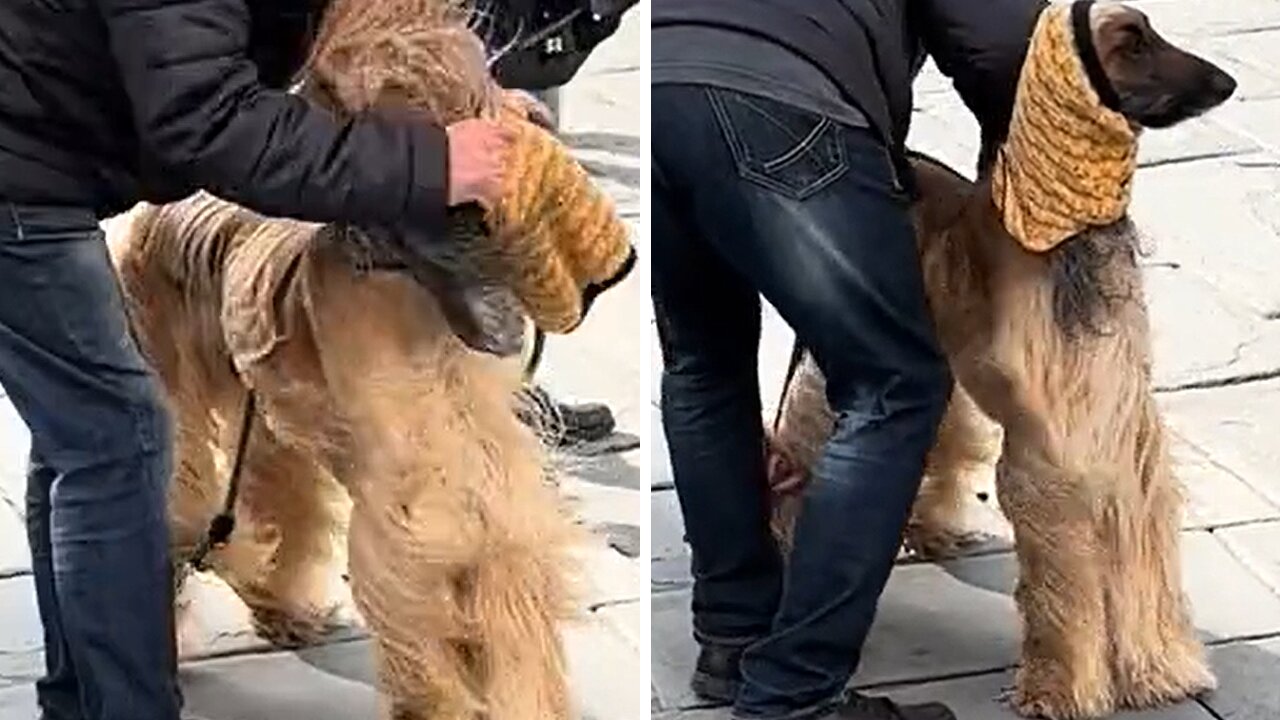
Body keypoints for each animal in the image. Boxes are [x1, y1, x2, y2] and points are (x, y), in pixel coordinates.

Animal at [762, 2, 1233, 712]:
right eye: (1132, 41)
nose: (1225, 83)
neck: (1069, 244)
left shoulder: (1126, 446)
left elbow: (1140, 557)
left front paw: (1160, 670)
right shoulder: (1048, 454)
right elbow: (1059, 581)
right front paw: (1058, 686)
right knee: (801, 450)